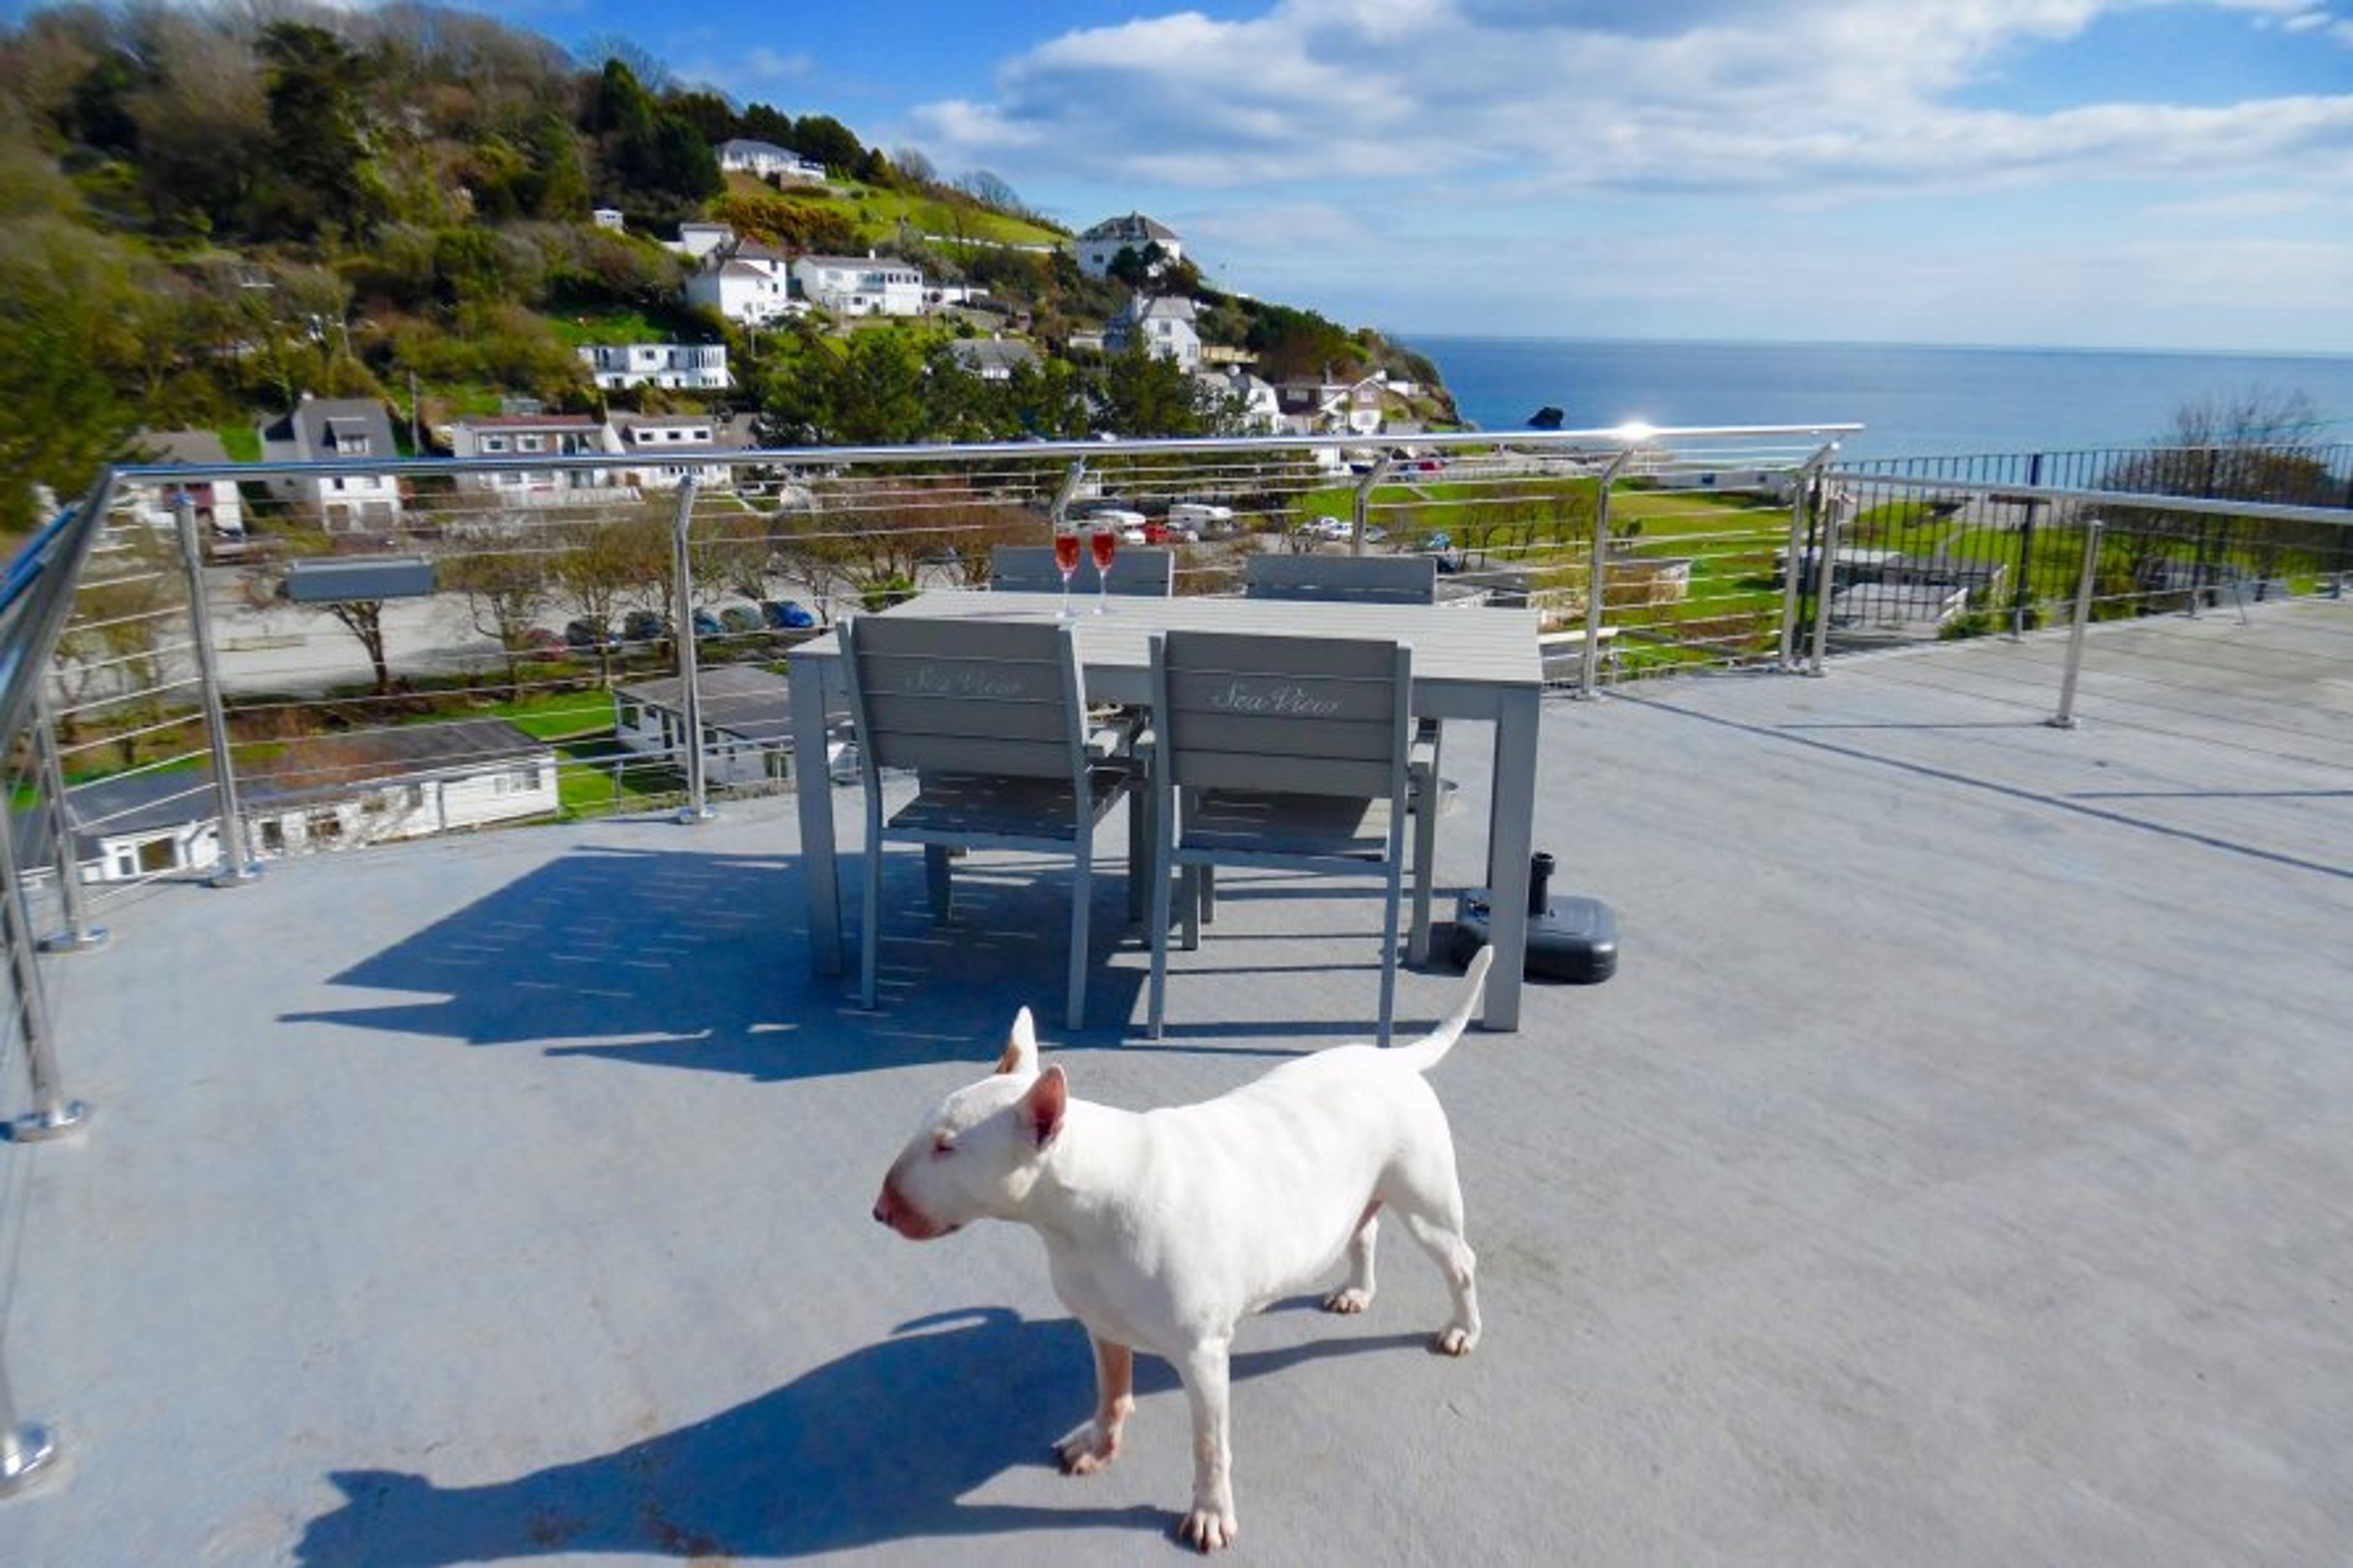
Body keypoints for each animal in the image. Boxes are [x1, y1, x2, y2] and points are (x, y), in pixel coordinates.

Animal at [866, 946, 1487, 1544]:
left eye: (947, 1147)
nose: (880, 1210)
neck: (1088, 1203)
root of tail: (1393, 1059)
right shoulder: (1103, 1324)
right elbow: (1111, 1390)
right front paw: (1097, 1444)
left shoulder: (1203, 1353)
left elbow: (1209, 1443)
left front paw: (1210, 1513)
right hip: (1357, 1193)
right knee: (1364, 1228)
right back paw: (1357, 1290)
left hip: (1426, 1204)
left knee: (1460, 1262)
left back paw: (1462, 1328)